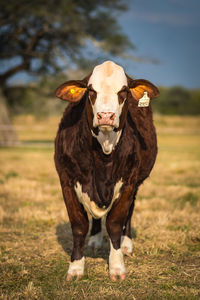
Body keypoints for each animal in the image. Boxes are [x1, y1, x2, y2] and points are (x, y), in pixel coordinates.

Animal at [54, 61, 159, 282]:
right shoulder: (66, 181)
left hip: (136, 184)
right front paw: (75, 267)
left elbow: (115, 223)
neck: (104, 152)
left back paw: (126, 245)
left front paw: (117, 267)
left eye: (124, 91)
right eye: (91, 91)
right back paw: (94, 240)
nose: (105, 116)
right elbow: (79, 225)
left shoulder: (128, 183)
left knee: (130, 213)